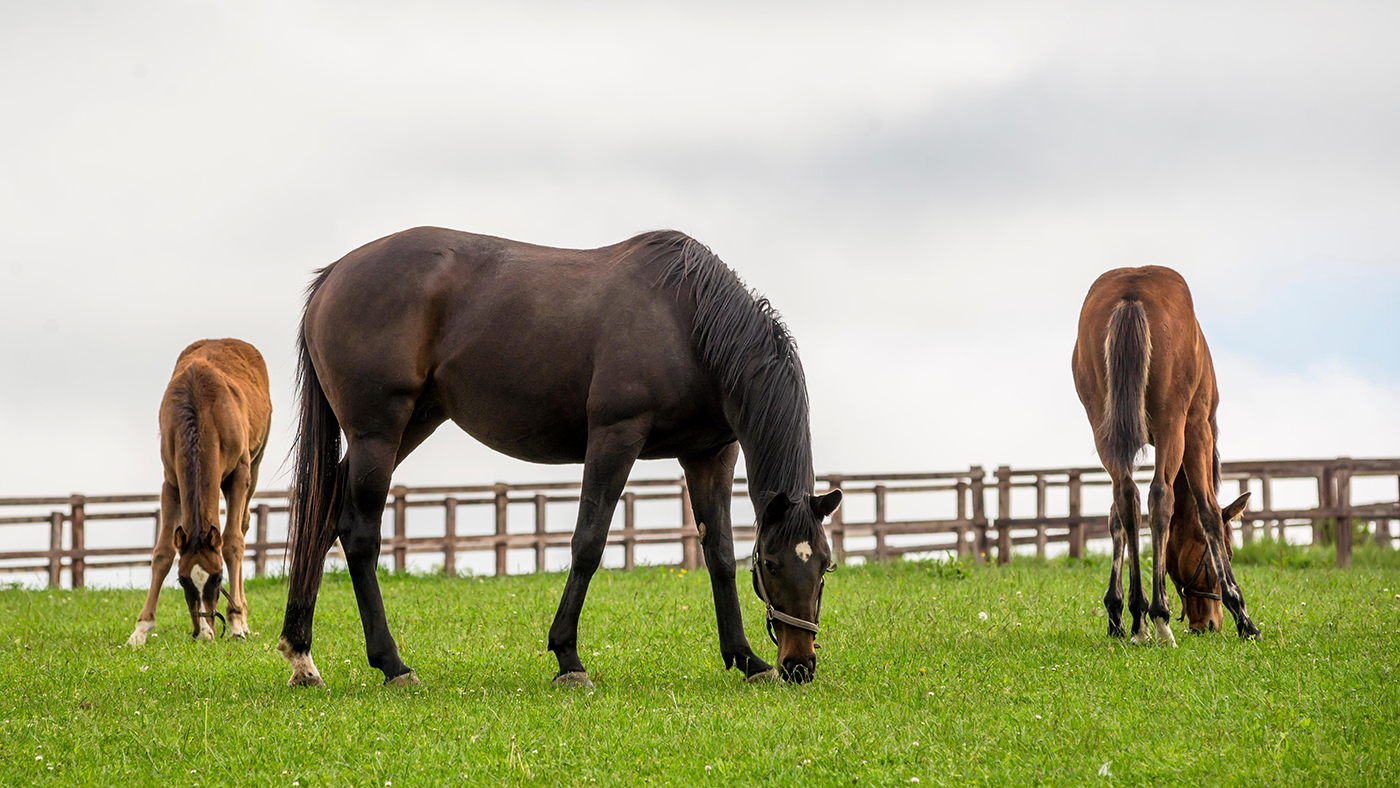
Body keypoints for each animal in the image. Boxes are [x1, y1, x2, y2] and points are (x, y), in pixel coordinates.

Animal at [126, 339, 272, 646]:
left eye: (218, 578)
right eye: (182, 580)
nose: (204, 633)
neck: (201, 410)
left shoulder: (239, 475)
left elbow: (233, 543)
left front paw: (236, 622)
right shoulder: (171, 483)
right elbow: (163, 552)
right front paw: (141, 629)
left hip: (255, 464)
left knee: (243, 526)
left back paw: (242, 616)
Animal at [276, 227, 842, 688]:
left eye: (826, 565)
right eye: (772, 564)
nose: (799, 665)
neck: (688, 322)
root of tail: (332, 277)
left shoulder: (710, 455)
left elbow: (719, 554)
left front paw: (746, 659)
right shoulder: (616, 436)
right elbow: (588, 543)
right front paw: (568, 659)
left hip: (410, 425)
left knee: (323, 518)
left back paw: (302, 656)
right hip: (377, 434)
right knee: (359, 535)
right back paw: (392, 664)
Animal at [1071, 266, 1259, 645]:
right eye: (1229, 553)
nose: (1208, 623)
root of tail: (1131, 291)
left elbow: (1115, 520)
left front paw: (1117, 613)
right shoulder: (1197, 427)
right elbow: (1207, 511)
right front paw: (1243, 617)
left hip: (1104, 427)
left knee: (1126, 497)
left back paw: (1140, 620)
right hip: (1173, 422)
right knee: (1160, 496)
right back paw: (1158, 618)